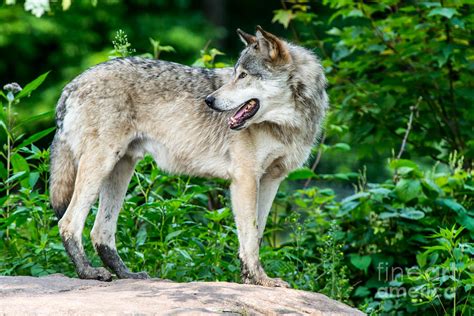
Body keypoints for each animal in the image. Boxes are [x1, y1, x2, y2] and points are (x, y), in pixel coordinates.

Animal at [50, 25, 328, 286]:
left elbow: (256, 236)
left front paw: (251, 281)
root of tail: (71, 85)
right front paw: (261, 280)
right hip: (101, 165)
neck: (288, 124)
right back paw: (89, 272)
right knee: (68, 222)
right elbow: (249, 237)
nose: (209, 100)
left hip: (121, 169)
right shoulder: (246, 179)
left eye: (244, 75)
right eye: (235, 74)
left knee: (100, 232)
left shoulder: (271, 180)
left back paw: (127, 274)